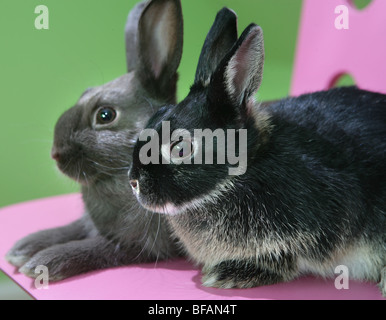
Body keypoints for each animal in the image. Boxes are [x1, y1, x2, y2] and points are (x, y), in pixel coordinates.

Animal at [5, 0, 184, 280]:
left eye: (105, 115)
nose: (56, 153)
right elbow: (72, 228)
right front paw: (24, 248)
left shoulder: (141, 245)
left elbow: (97, 247)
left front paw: (42, 262)